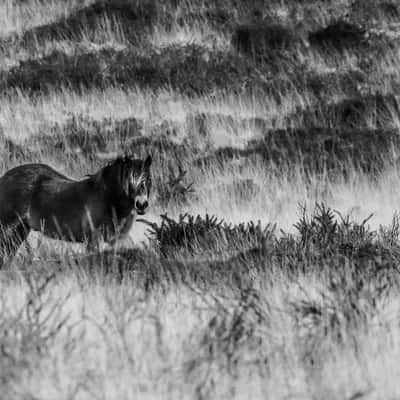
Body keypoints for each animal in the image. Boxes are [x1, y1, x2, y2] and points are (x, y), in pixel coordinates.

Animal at [0, 155, 152, 266]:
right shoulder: (94, 239)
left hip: (20, 230)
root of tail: (5, 177)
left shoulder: (115, 241)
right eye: (129, 181)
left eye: (149, 179)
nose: (141, 204)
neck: (107, 198)